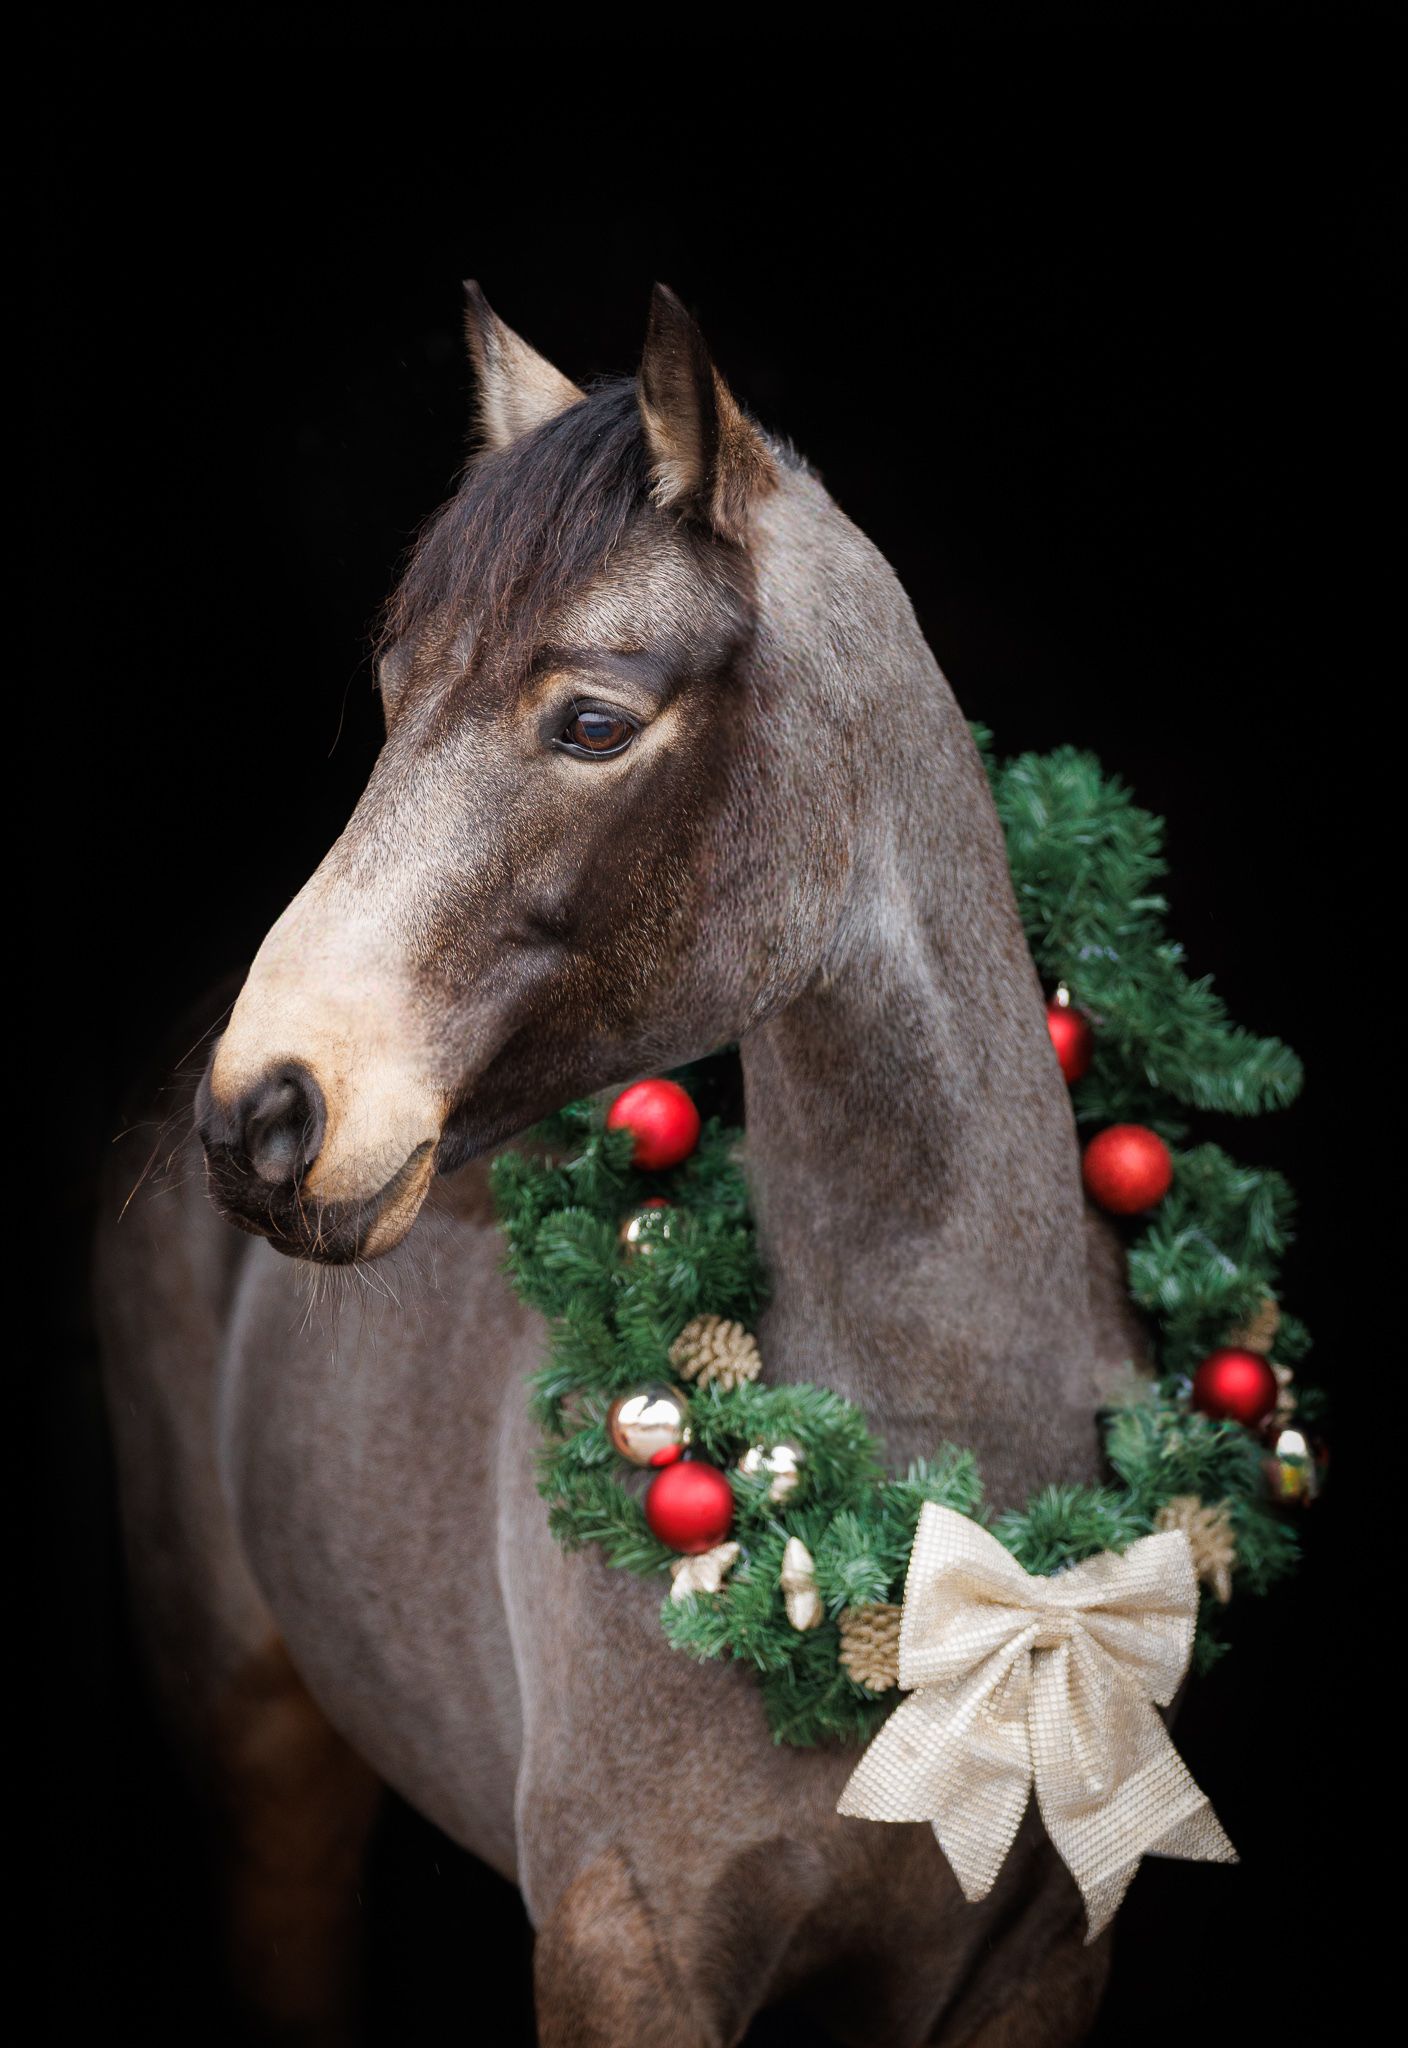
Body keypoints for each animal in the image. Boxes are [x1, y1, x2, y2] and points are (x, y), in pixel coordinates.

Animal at [98, 284, 1145, 2046]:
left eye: (591, 721)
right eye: (394, 692)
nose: (263, 1116)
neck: (912, 1527)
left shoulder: (1039, 1963)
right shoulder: (623, 1943)